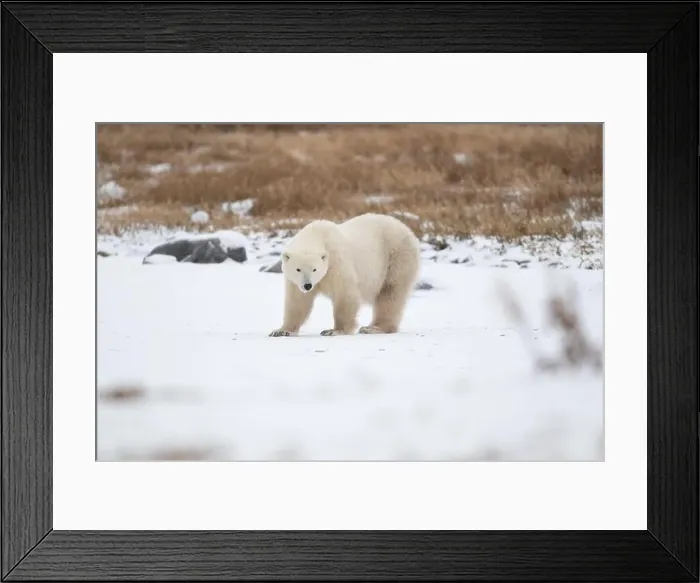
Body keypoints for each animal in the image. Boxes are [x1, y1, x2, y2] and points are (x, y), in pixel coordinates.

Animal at [269, 213, 420, 337]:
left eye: (314, 269)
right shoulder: (295, 282)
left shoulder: (336, 262)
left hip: (396, 257)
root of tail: (407, 229)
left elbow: (345, 294)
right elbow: (297, 301)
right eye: (298, 269)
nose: (307, 285)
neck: (317, 235)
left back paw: (373, 328)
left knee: (390, 293)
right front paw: (281, 331)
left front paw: (334, 330)